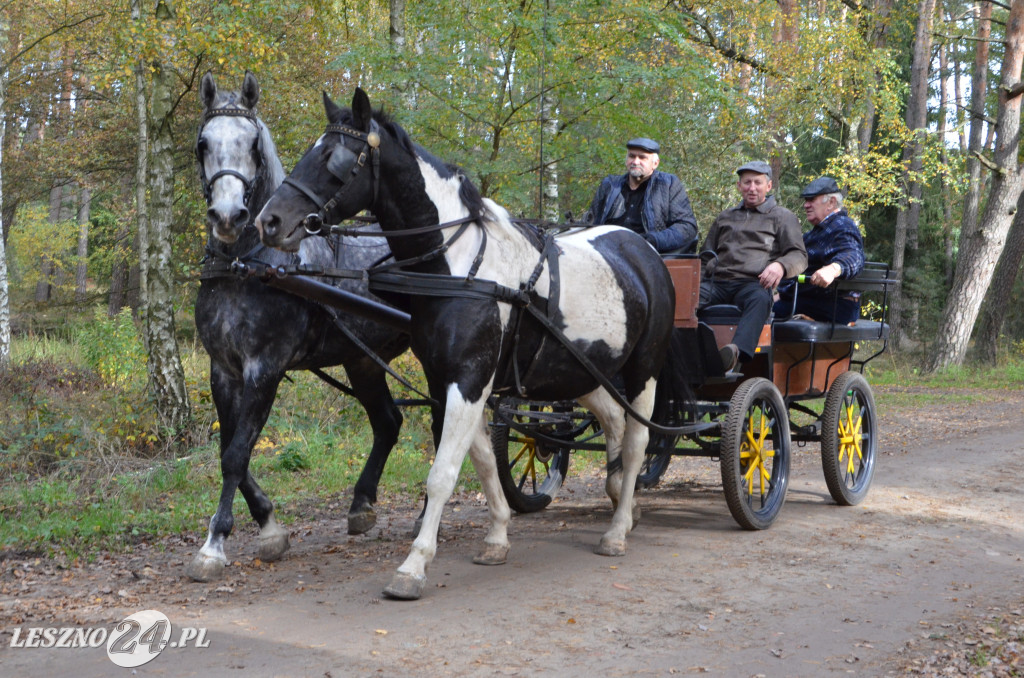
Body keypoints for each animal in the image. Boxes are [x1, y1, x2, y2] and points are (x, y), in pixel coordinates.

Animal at [186, 74, 409, 585]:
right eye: (203, 144)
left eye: (253, 145)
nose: (228, 217)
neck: (247, 266)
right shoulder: (222, 370)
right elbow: (230, 448)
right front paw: (269, 525)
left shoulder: (264, 368)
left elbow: (236, 453)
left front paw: (215, 544)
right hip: (363, 360)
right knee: (389, 422)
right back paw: (361, 504)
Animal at [256, 89, 675, 602]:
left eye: (334, 158)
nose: (269, 221)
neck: (459, 269)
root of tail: (643, 250)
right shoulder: (448, 380)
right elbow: (483, 464)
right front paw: (496, 538)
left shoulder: (471, 379)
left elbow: (443, 474)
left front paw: (414, 565)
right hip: (581, 371)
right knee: (615, 422)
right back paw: (621, 503)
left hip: (643, 369)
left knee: (637, 443)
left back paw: (616, 530)